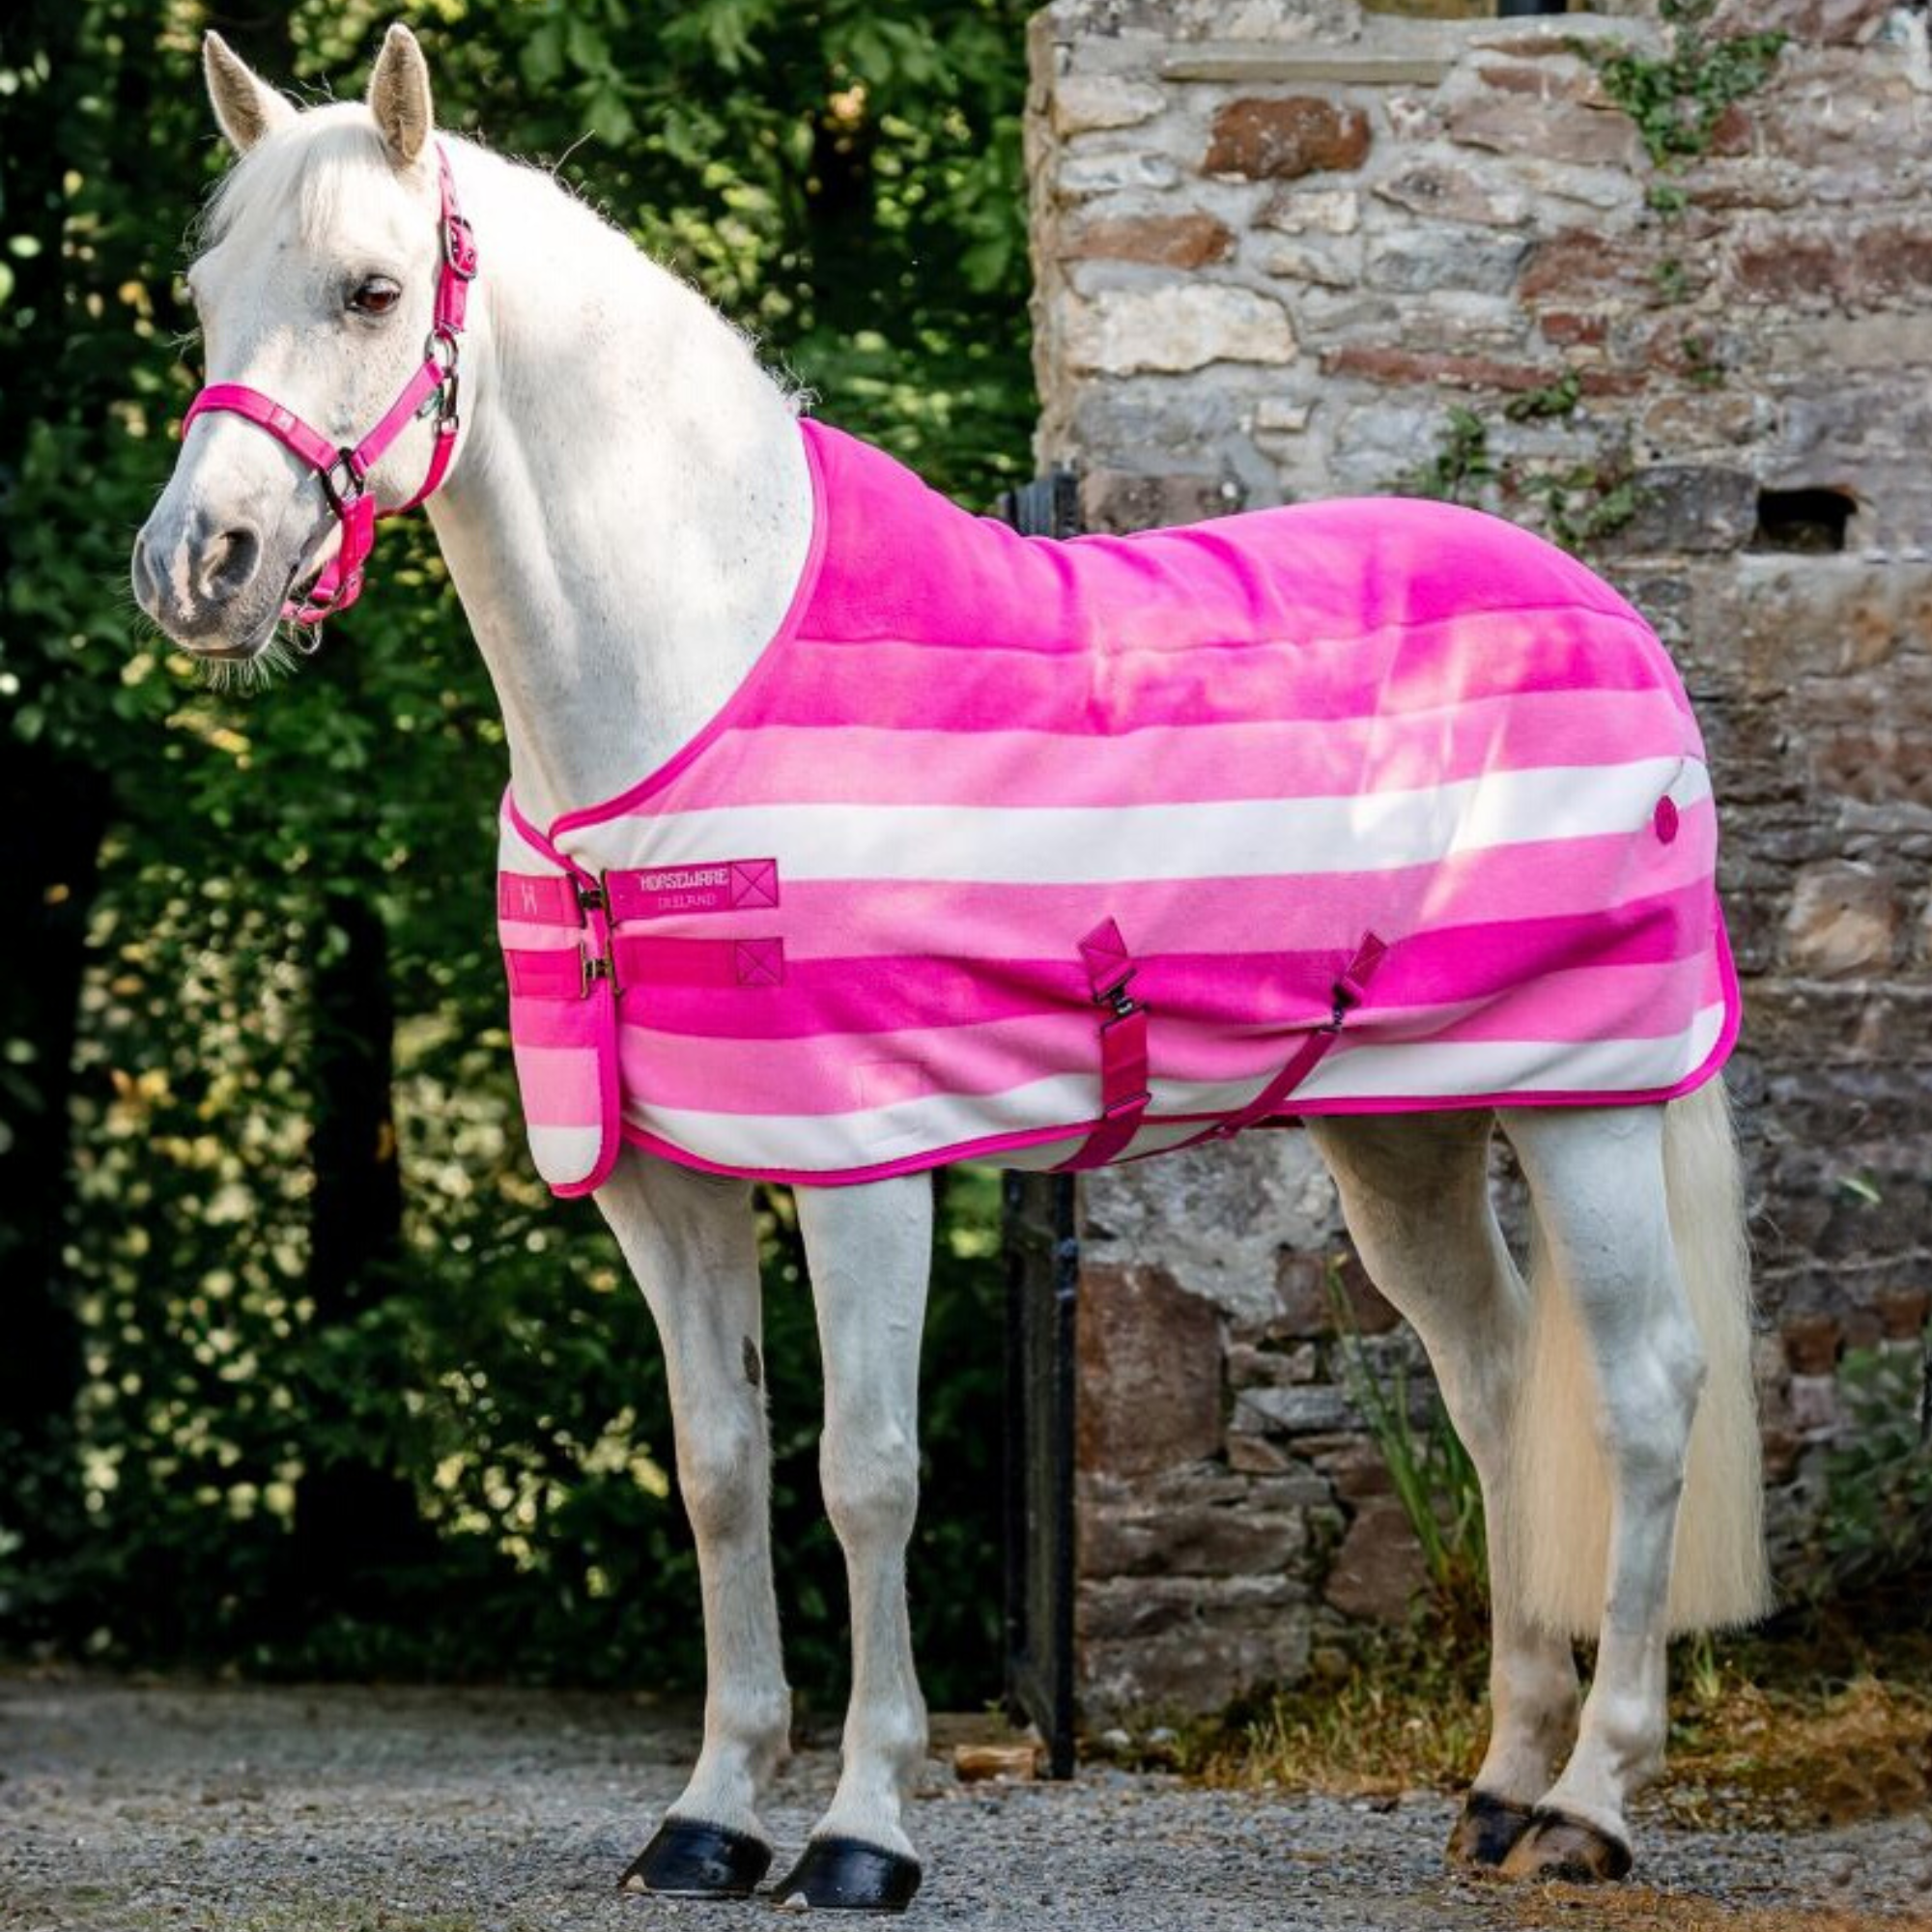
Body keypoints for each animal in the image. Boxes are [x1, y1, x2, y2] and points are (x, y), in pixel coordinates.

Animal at [132, 24, 1768, 1911]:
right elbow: (717, 1470)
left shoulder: (866, 1167)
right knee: (1496, 1384)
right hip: (1405, 1131)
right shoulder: (666, 1184)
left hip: (1588, 1103)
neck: (692, 678)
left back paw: (1591, 1803)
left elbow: (868, 1477)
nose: (194, 568)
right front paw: (708, 1816)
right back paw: (1499, 1782)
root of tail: (1611, 615)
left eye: (372, 289)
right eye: (204, 296)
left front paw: (862, 1830)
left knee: (1640, 1396)